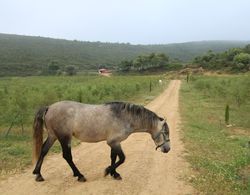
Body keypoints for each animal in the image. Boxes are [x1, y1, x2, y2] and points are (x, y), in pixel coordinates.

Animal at [32, 101, 171, 182]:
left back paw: (38, 174)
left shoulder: (114, 142)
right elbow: (122, 158)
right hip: (64, 137)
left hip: (53, 136)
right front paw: (108, 171)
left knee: (43, 150)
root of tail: (49, 107)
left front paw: (114, 174)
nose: (168, 149)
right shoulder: (114, 142)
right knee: (67, 156)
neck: (125, 117)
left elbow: (113, 157)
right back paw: (79, 175)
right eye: (165, 133)